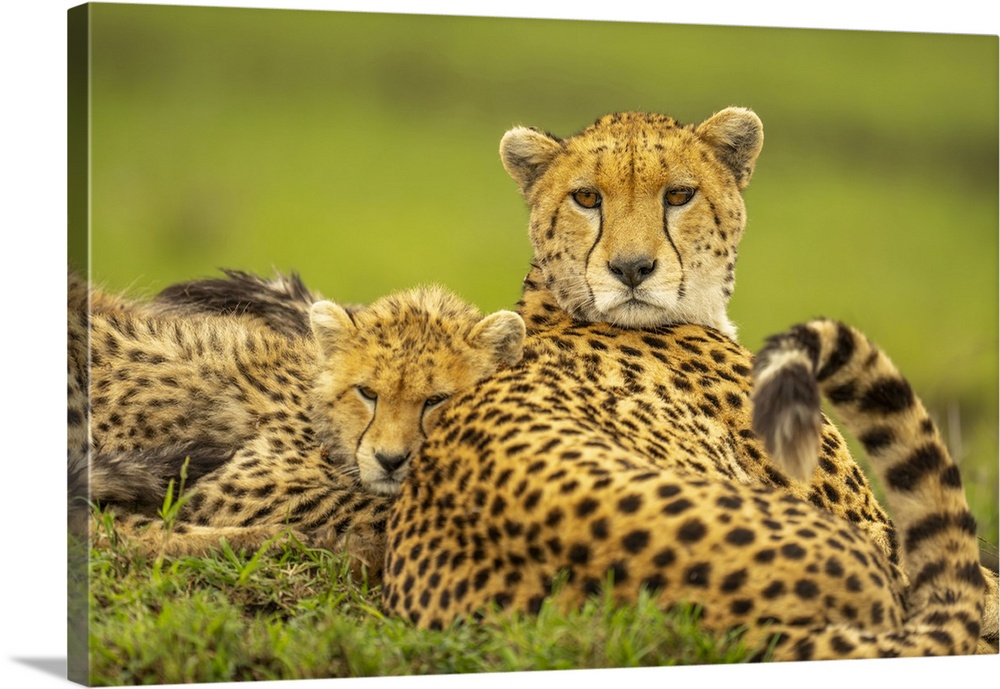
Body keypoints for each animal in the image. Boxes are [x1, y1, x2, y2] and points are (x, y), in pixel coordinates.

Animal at [68, 270, 525, 566]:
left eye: (436, 400)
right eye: (368, 393)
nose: (390, 460)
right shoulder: (231, 485)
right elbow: (375, 506)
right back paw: (276, 540)